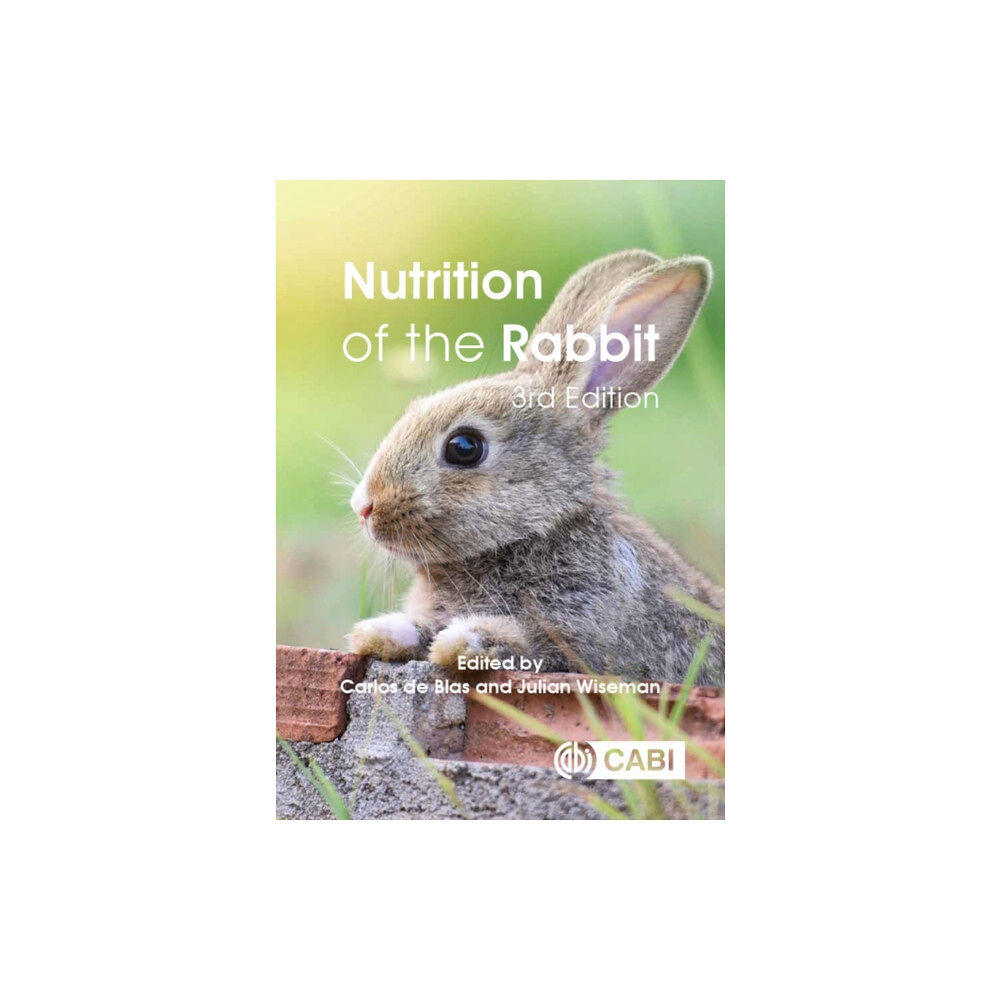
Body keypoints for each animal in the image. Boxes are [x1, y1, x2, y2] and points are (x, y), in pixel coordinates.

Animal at [345, 249, 724, 684]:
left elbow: (525, 641)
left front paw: (463, 641)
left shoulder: (579, 634)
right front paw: (379, 632)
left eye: (464, 447)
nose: (364, 506)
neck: (537, 532)